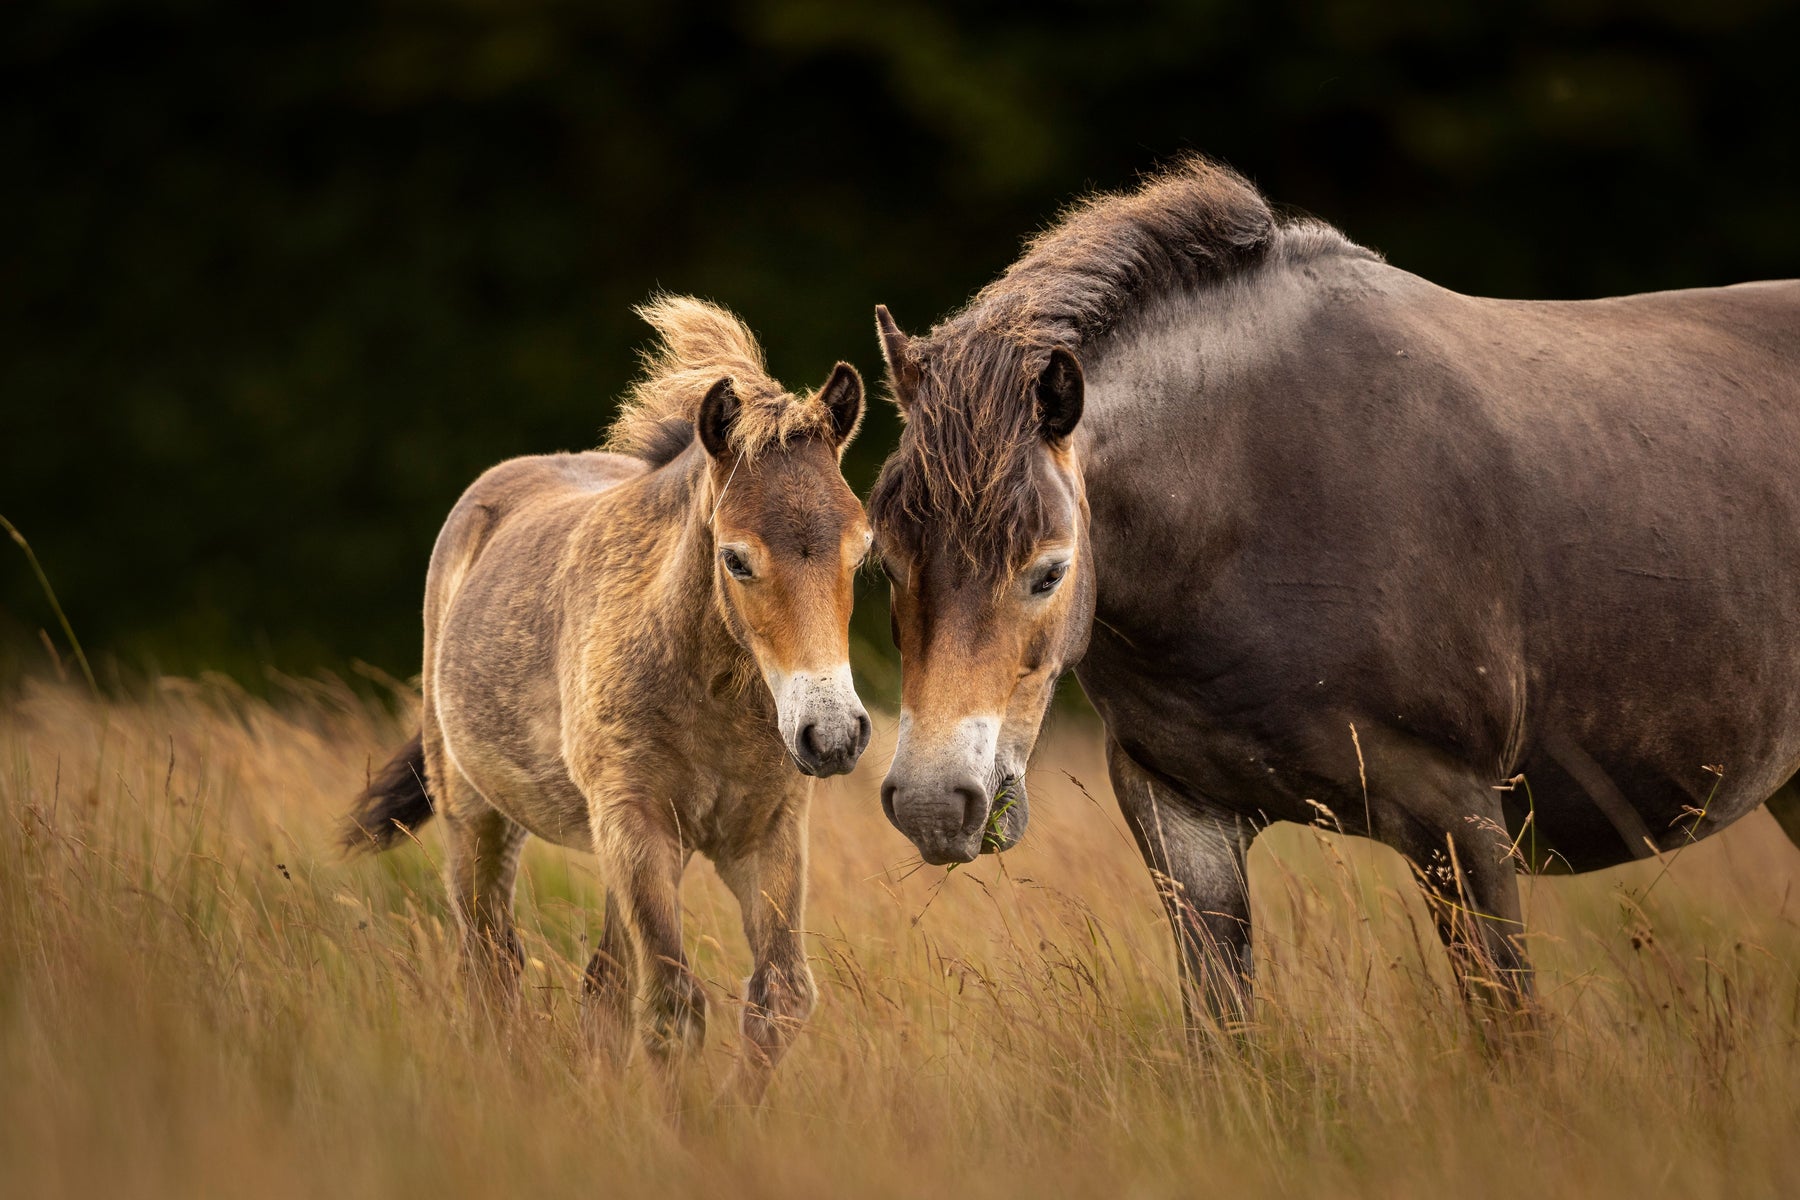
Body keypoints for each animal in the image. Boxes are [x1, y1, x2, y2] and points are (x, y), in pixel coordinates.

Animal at [344, 295, 873, 1097]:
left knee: (597, 983)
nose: (832, 734)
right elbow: (674, 1010)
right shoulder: (637, 822)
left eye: (863, 552)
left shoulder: (766, 833)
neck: (716, 694)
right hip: (479, 814)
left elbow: (778, 997)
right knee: (491, 961)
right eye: (736, 559)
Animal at [866, 155, 1800, 1026]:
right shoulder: (1182, 821)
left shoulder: (1462, 822)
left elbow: (1508, 1029)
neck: (1248, 503)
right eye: (887, 563)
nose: (934, 804)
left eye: (1050, 571)